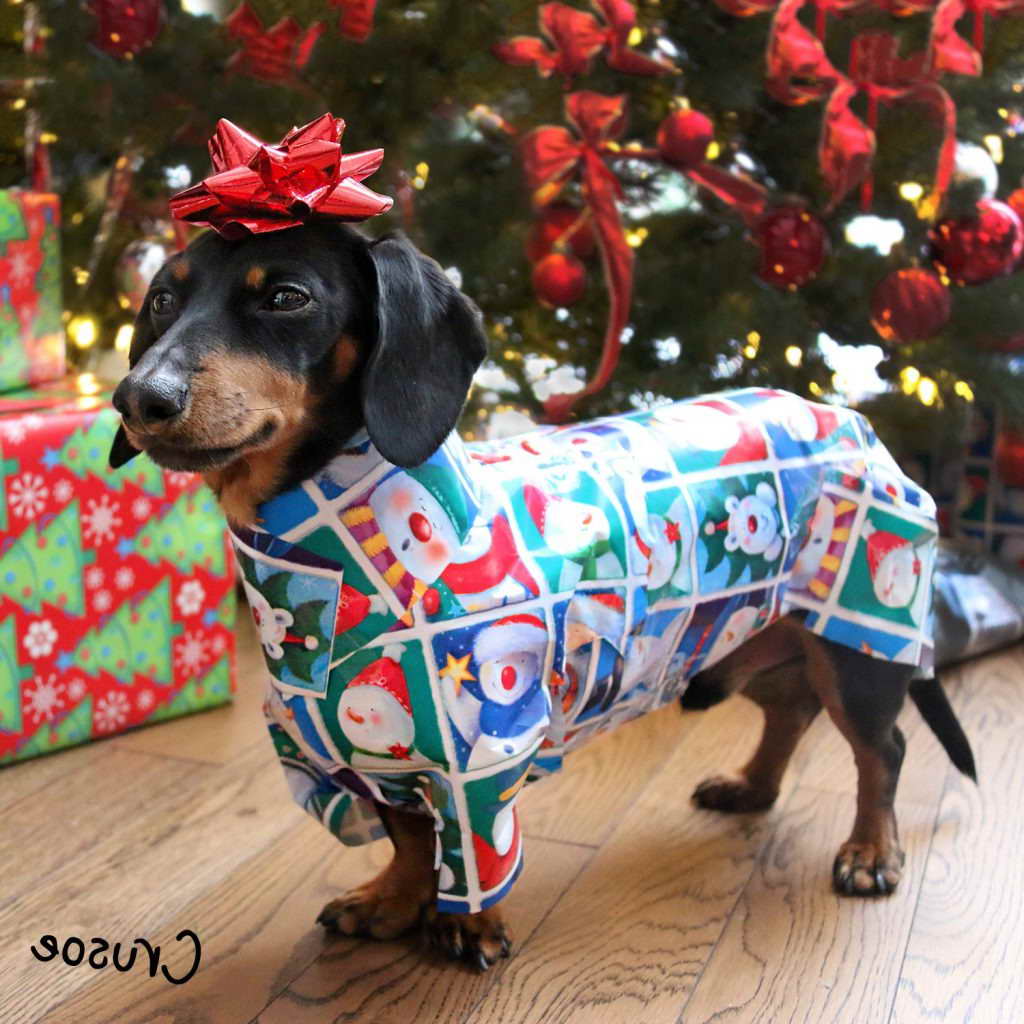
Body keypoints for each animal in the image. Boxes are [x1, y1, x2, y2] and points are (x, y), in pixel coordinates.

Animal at [110, 222, 974, 966]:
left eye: (286, 297)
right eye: (161, 298)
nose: (138, 398)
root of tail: (848, 416)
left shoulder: (479, 755)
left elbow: (469, 849)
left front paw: (469, 925)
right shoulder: (357, 745)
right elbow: (407, 833)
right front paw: (392, 899)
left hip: (860, 638)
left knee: (882, 750)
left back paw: (871, 851)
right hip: (750, 634)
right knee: (790, 710)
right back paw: (751, 786)